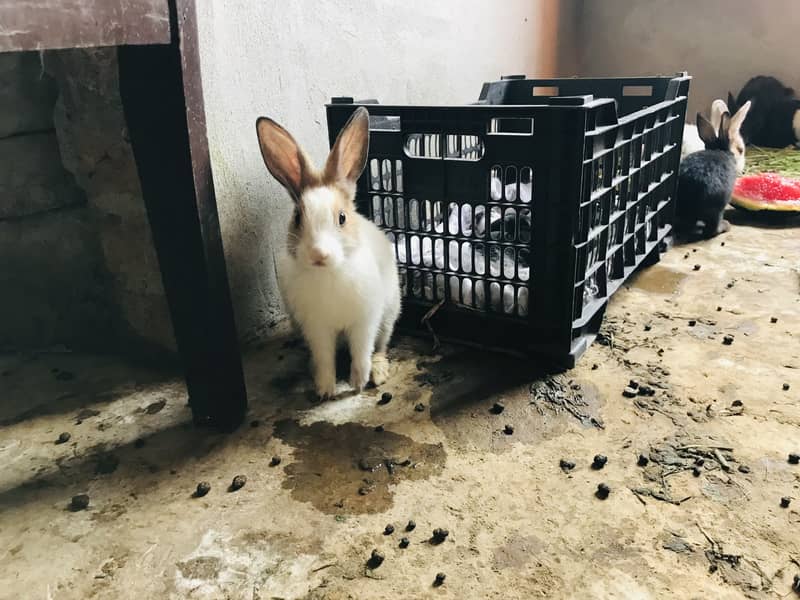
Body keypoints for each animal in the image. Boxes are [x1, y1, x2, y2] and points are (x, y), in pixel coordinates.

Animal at [255, 107, 401, 400]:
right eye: (297, 218)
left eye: (342, 218)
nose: (318, 255)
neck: (329, 274)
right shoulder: (317, 329)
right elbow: (325, 358)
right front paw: (325, 391)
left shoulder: (364, 322)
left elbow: (361, 352)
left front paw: (357, 384)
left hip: (389, 315)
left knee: (380, 346)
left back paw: (378, 373)